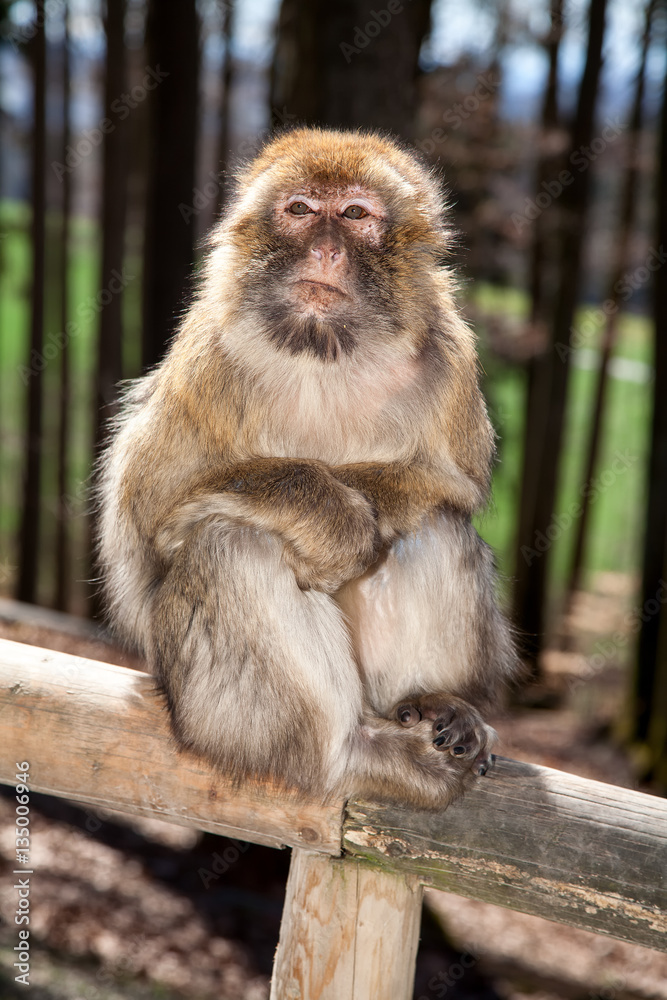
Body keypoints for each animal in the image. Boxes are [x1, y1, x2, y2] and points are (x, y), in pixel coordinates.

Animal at [97, 127, 518, 809]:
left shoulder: (450, 353)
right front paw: (335, 518)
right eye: (300, 210)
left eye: (354, 214)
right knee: (231, 543)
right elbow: (158, 512)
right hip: (207, 706)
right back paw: (352, 754)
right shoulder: (206, 356)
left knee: (434, 526)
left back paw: (434, 703)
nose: (324, 249)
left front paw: (359, 509)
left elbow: (450, 486)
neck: (323, 348)